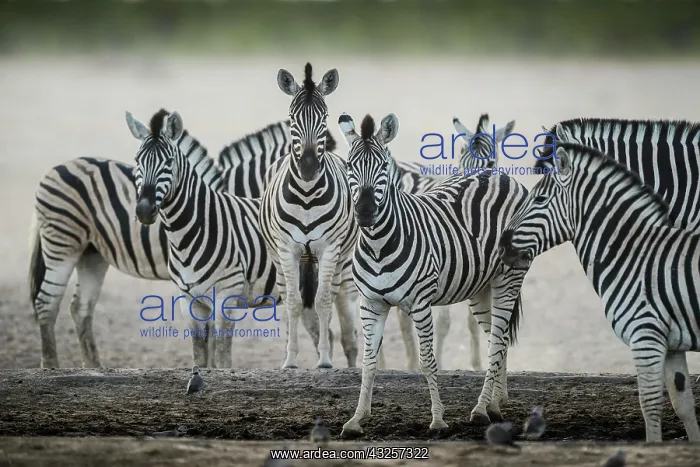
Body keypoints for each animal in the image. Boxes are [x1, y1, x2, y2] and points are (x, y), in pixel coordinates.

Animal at [260, 63, 360, 370]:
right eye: (292, 118)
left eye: (324, 117)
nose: (307, 167)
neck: (305, 195)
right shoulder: (287, 248)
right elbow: (293, 303)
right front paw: (290, 360)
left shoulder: (329, 248)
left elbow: (323, 302)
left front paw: (325, 360)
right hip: (278, 258)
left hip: (340, 261)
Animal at [337, 111, 529, 437]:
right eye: (349, 165)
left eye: (383, 166)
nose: (364, 212)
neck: (377, 245)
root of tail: (497, 175)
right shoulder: (370, 303)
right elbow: (368, 362)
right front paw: (356, 419)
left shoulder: (420, 303)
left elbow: (427, 361)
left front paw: (438, 420)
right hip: (481, 286)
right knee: (498, 337)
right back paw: (494, 404)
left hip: (509, 277)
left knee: (497, 339)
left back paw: (481, 410)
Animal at [498, 142, 700, 443]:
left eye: (540, 199)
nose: (501, 246)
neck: (634, 253)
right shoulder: (672, 344)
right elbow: (683, 405)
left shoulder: (645, 337)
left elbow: (650, 406)